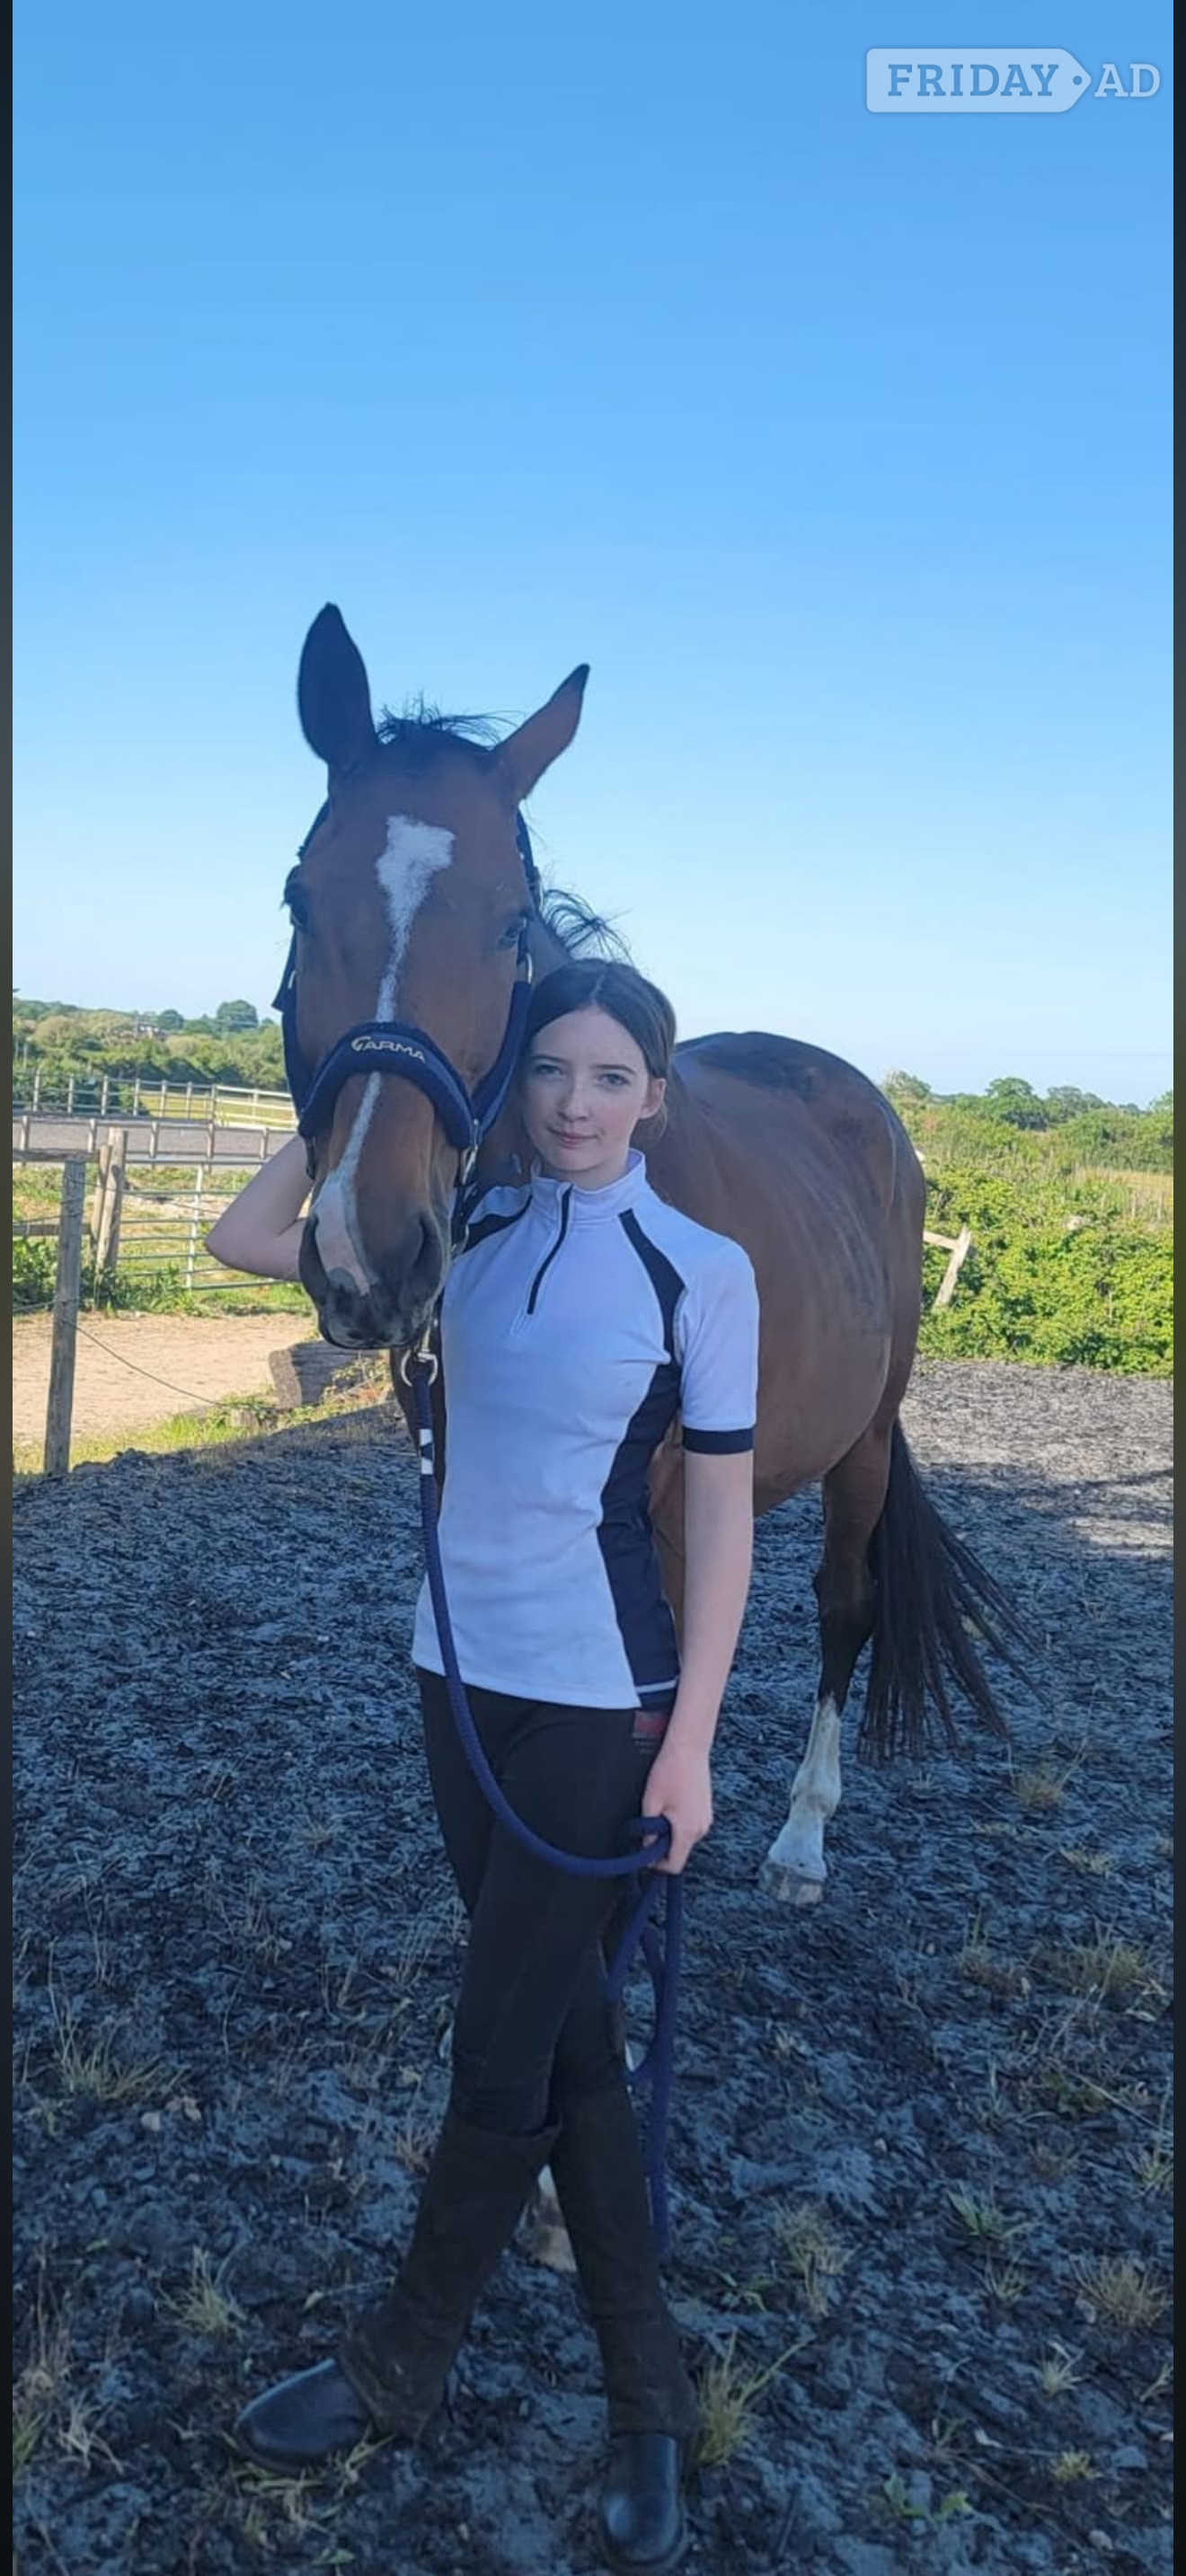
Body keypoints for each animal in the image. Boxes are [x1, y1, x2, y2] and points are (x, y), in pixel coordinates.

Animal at [282, 603, 1027, 1917]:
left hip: (867, 1438)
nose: (366, 1247)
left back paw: (801, 1837)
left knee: (842, 1607)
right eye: (299, 901)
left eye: (510, 926)